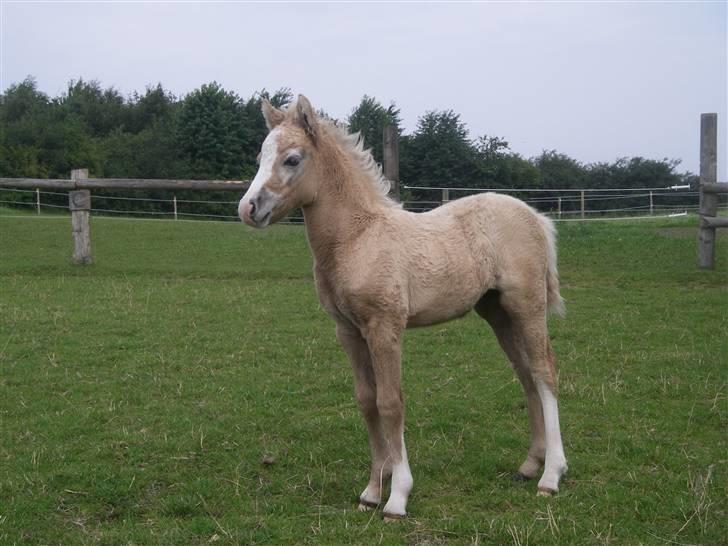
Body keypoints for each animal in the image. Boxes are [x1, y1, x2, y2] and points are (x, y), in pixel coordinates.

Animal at [238, 95, 568, 520]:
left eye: (292, 159)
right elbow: (367, 401)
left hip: (526, 304)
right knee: (526, 375)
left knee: (544, 372)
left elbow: (391, 402)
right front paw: (371, 491)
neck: (357, 237)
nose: (248, 208)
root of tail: (536, 217)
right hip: (497, 312)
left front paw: (397, 496)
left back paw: (551, 475)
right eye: (260, 156)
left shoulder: (385, 327)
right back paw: (529, 465)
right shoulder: (348, 330)